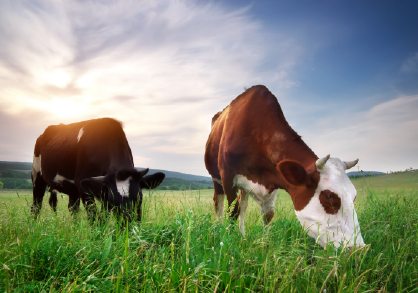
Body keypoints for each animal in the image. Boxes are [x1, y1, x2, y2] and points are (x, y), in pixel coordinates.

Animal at [31, 116, 165, 221]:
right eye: (113, 201)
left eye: (139, 198)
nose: (127, 224)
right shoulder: (84, 185)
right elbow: (93, 216)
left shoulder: (104, 191)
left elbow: (103, 218)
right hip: (37, 176)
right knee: (36, 206)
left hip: (72, 190)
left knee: (73, 209)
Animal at [206, 85, 366, 248]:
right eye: (329, 196)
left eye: (354, 196)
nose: (359, 249)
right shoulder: (227, 176)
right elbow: (232, 212)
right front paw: (229, 240)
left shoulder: (274, 179)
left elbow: (268, 214)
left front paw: (264, 242)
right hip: (216, 179)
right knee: (219, 203)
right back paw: (220, 229)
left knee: (243, 205)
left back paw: (242, 234)